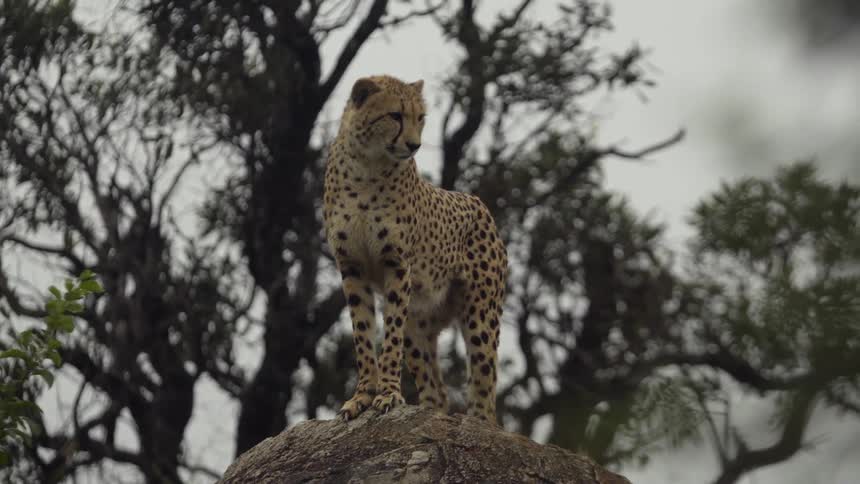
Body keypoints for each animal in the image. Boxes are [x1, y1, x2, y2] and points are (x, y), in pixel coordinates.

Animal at [323, 74, 508, 424]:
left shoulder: (396, 265)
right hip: (420, 320)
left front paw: (388, 395)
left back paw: (478, 422)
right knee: (437, 392)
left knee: (485, 389)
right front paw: (362, 397)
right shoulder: (352, 267)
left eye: (420, 118)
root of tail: (479, 204)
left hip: (480, 314)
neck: (367, 166)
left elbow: (390, 337)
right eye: (395, 116)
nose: (414, 146)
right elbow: (362, 333)